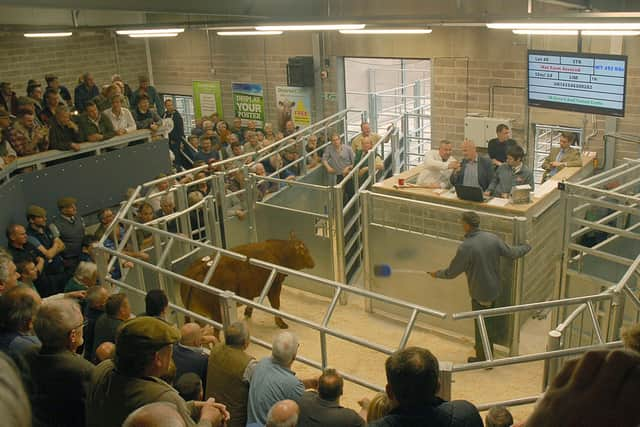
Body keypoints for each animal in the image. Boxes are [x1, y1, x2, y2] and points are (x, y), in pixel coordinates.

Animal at [181, 236, 314, 330]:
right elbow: (276, 306)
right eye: (306, 251)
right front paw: (281, 323)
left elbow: (251, 302)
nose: (314, 262)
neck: (279, 253)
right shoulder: (274, 287)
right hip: (216, 314)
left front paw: (248, 312)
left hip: (199, 316)